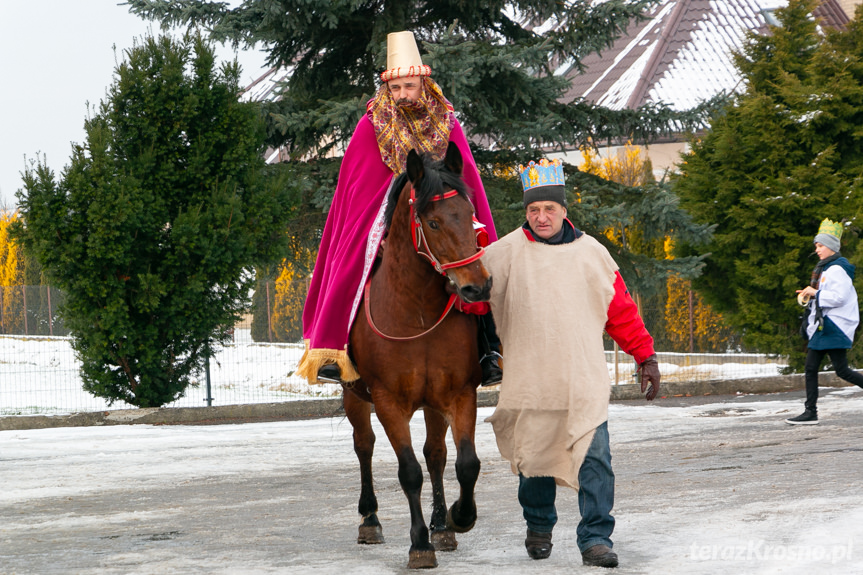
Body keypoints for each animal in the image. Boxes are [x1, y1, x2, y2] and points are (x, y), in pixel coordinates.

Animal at [346, 142, 492, 568]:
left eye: (469, 214)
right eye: (433, 223)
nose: (477, 288)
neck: (417, 308)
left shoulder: (459, 393)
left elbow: (465, 463)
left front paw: (458, 518)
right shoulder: (387, 400)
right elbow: (409, 471)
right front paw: (419, 544)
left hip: (432, 401)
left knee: (436, 454)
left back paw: (442, 525)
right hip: (352, 394)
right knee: (364, 445)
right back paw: (370, 519)